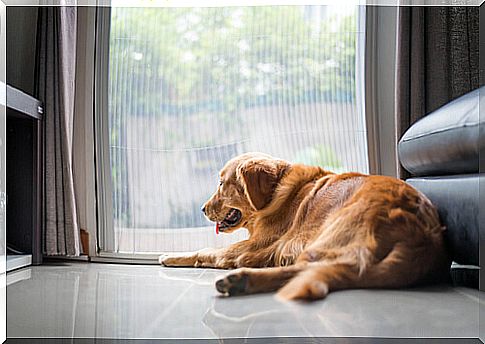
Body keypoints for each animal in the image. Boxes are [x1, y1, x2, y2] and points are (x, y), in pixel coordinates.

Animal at [160, 152, 450, 300]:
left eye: (222, 183)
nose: (202, 209)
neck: (275, 194)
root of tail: (424, 235)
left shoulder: (254, 247)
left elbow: (206, 250)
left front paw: (170, 256)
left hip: (328, 235)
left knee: (314, 269)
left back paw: (241, 280)